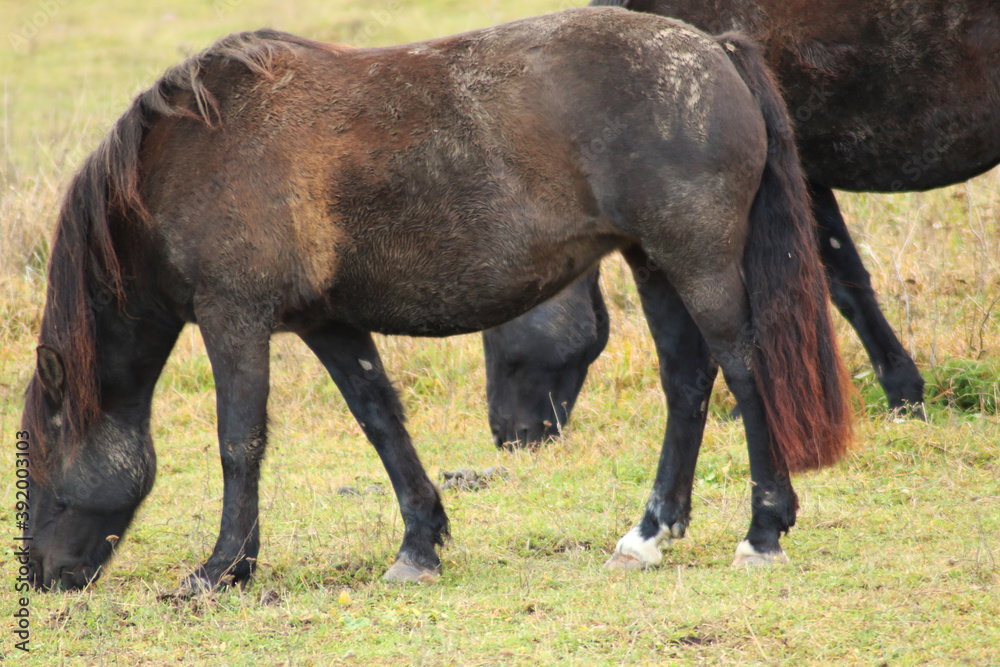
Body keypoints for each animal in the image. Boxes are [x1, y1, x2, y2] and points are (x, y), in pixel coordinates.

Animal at [22, 7, 853, 591]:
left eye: (36, 457)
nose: (39, 577)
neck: (197, 152)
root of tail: (717, 52)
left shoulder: (234, 319)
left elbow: (239, 443)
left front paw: (221, 568)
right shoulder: (329, 322)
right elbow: (380, 421)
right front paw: (420, 544)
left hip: (699, 266)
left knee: (744, 373)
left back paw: (764, 530)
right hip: (654, 265)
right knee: (686, 382)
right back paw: (648, 534)